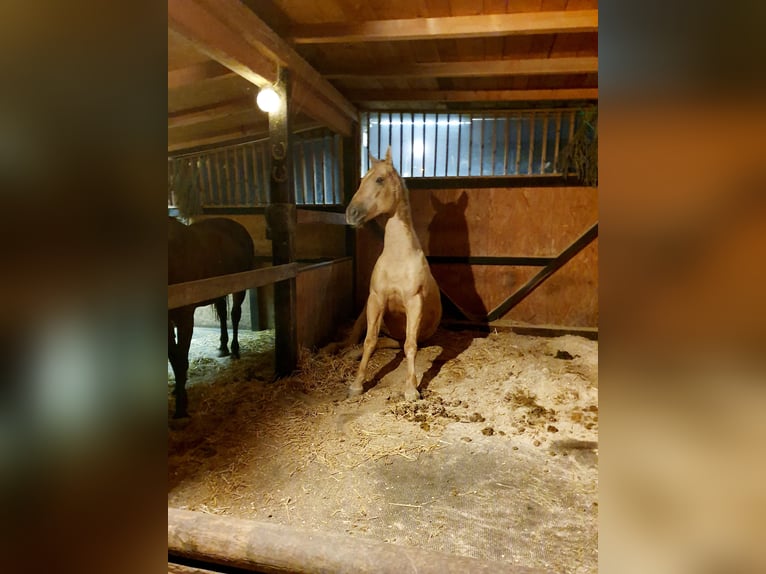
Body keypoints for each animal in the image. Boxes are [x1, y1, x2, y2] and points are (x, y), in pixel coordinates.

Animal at [168, 216, 255, 418]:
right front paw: (177, 389)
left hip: (239, 288)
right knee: (223, 313)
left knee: (235, 315)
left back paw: (234, 350)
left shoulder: (185, 318)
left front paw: (181, 406)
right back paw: (223, 347)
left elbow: (180, 359)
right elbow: (173, 357)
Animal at [344, 148, 440, 400]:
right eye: (361, 181)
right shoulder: (376, 300)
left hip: (394, 335)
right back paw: (347, 353)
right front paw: (356, 384)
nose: (351, 214)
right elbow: (369, 341)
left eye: (380, 179)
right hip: (364, 311)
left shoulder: (414, 303)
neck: (399, 259)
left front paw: (411, 389)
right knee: (354, 340)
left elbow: (410, 345)